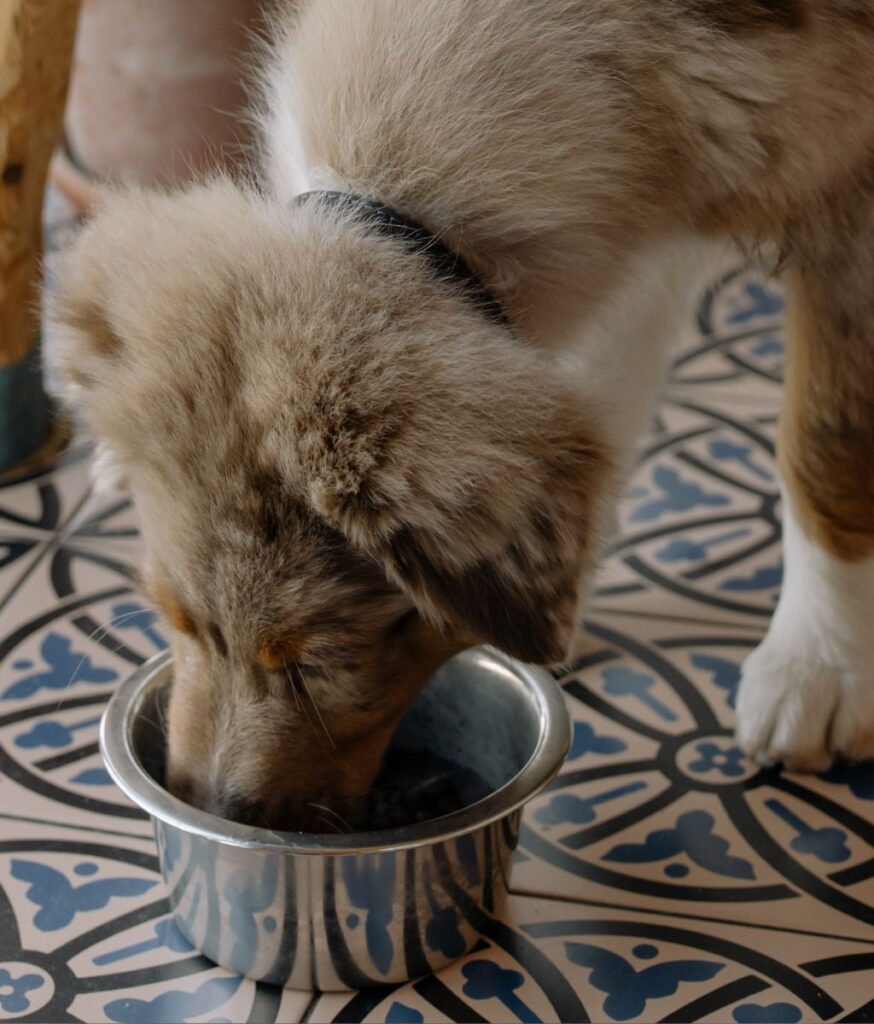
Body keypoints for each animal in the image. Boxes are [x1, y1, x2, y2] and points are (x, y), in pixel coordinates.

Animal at [46, 0, 874, 827]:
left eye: (316, 662)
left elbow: (825, 446)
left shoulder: (846, 203)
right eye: (175, 619)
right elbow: (601, 398)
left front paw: (820, 667)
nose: (206, 804)